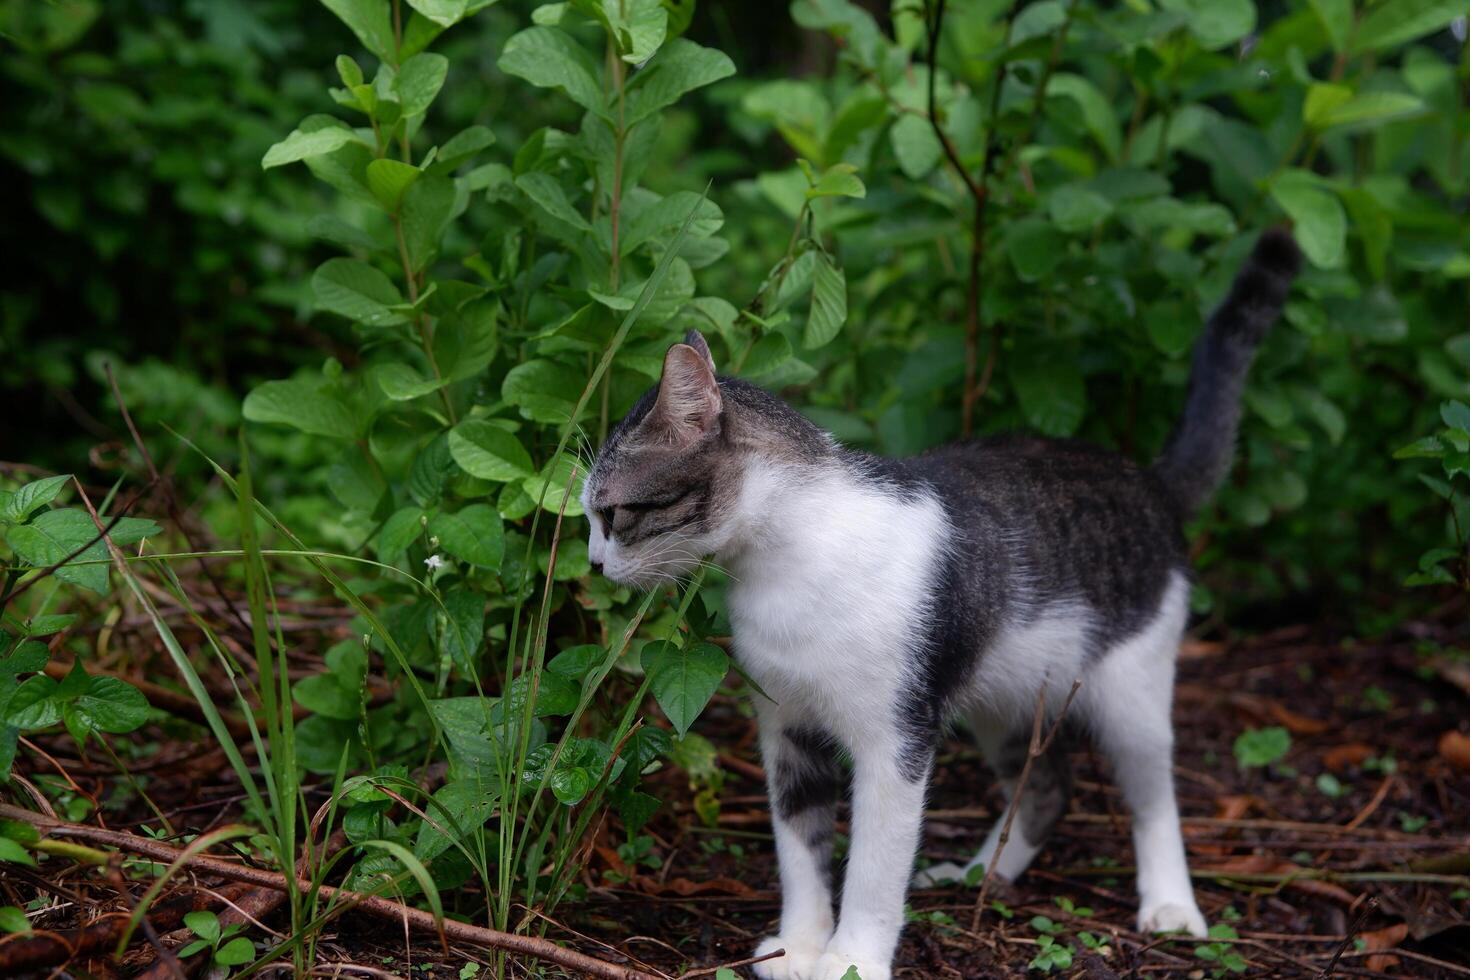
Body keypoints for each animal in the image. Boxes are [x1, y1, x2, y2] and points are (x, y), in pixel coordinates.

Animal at [579, 230, 1305, 980]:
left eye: (613, 513)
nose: (593, 563)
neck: (789, 563)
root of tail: (1148, 481)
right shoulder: (786, 725)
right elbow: (799, 844)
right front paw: (800, 946)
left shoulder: (898, 737)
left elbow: (875, 865)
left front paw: (852, 960)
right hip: (1004, 699)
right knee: (1047, 788)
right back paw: (981, 875)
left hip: (1133, 689)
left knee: (1154, 792)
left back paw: (1170, 906)